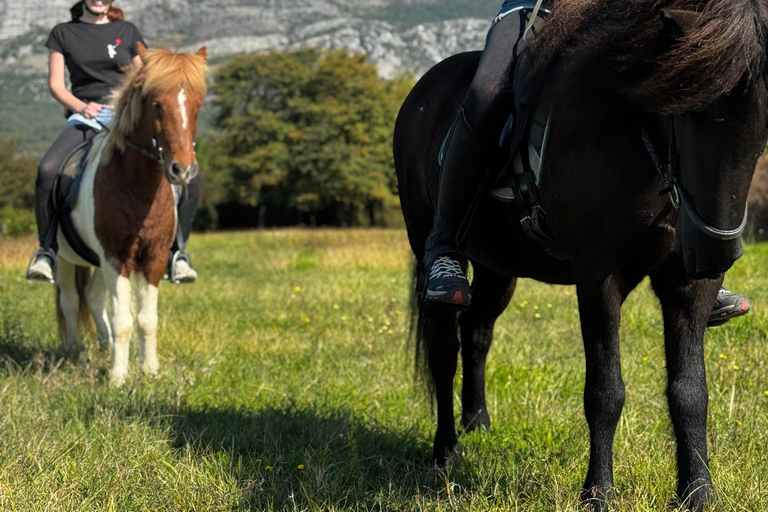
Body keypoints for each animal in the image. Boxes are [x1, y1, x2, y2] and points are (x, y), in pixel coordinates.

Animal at [54, 43, 207, 386]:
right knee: (70, 299)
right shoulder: (116, 257)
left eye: (198, 104)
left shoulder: (152, 258)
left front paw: (149, 370)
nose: (183, 170)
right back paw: (73, 350)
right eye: (157, 104)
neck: (137, 186)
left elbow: (147, 319)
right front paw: (118, 377)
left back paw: (104, 345)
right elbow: (123, 319)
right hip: (65, 258)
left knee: (93, 297)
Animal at [393, 0, 768, 509]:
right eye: (686, 112)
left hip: (497, 268)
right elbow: (605, 392)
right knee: (443, 351)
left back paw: (479, 425)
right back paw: (447, 453)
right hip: (429, 248)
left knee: (476, 334)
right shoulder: (598, 279)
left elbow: (691, 392)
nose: (716, 251)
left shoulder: (689, 286)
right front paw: (599, 492)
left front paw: (698, 492)